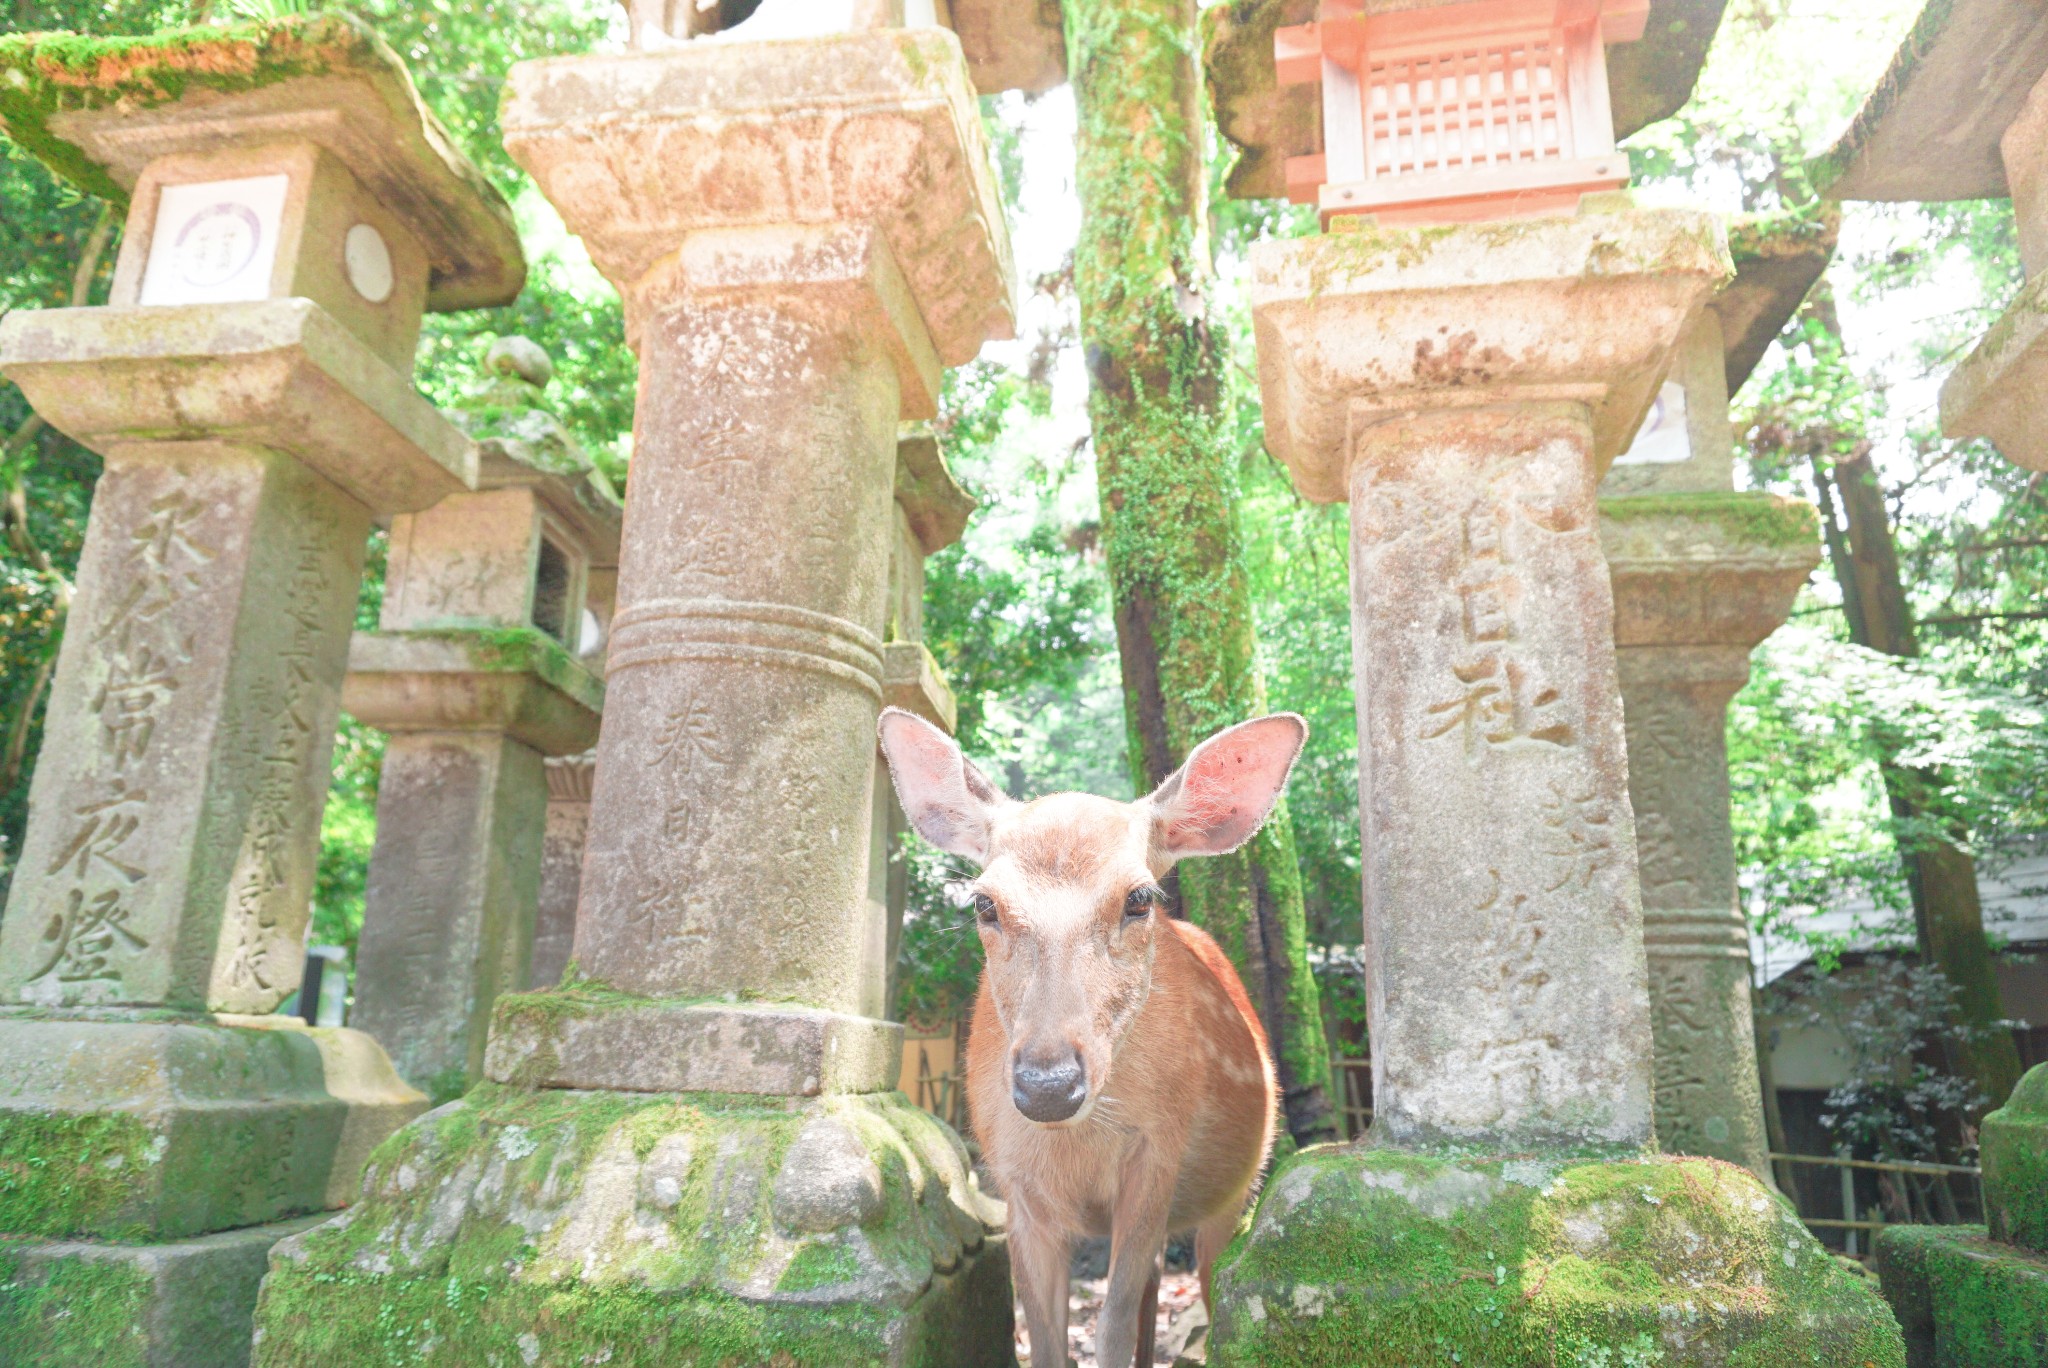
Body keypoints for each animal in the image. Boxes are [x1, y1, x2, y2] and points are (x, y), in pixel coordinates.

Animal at [872, 704, 1302, 1368]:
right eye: (984, 903)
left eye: (1139, 898)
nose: (1049, 1086)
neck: (1078, 1145)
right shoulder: (1012, 1182)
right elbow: (1046, 1338)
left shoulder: (1158, 1153)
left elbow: (1112, 1327)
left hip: (1236, 1192)